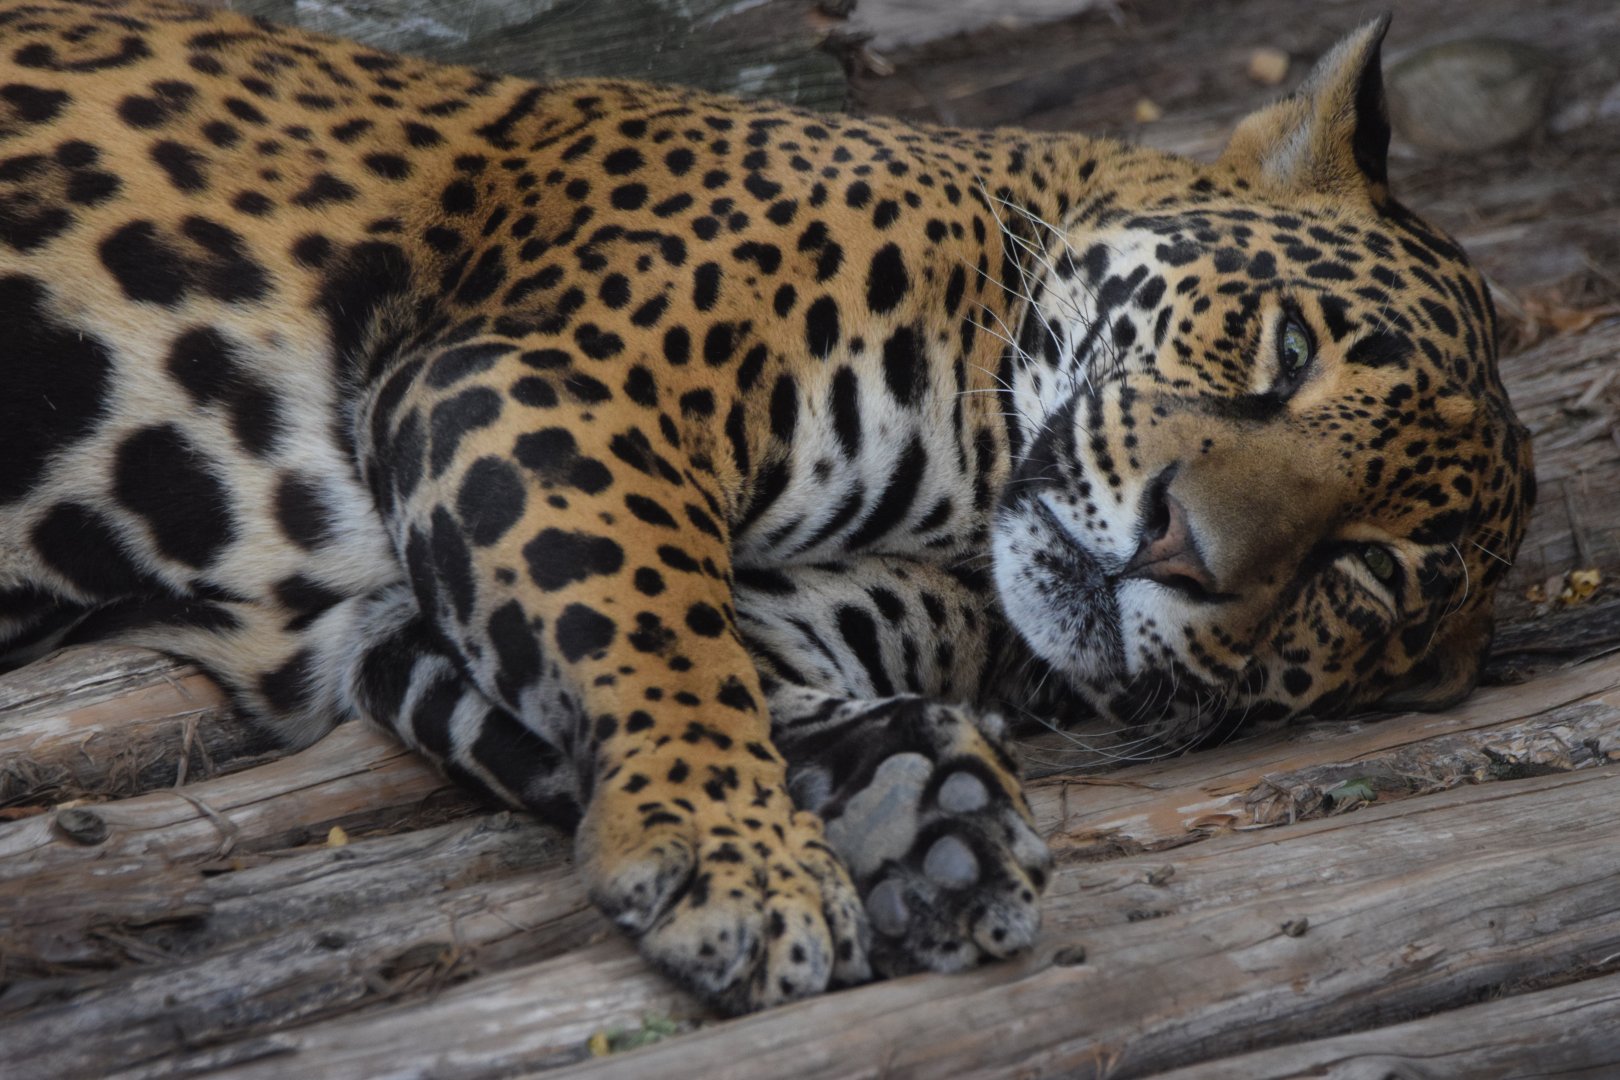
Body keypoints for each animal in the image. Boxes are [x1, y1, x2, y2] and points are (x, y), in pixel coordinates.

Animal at [0, 0, 1534, 1013]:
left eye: (1366, 572)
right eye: (1288, 350)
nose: (1181, 547)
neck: (967, 489)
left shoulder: (396, 608)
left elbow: (679, 668)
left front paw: (908, 806)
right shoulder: (551, 379)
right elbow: (651, 626)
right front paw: (743, 860)